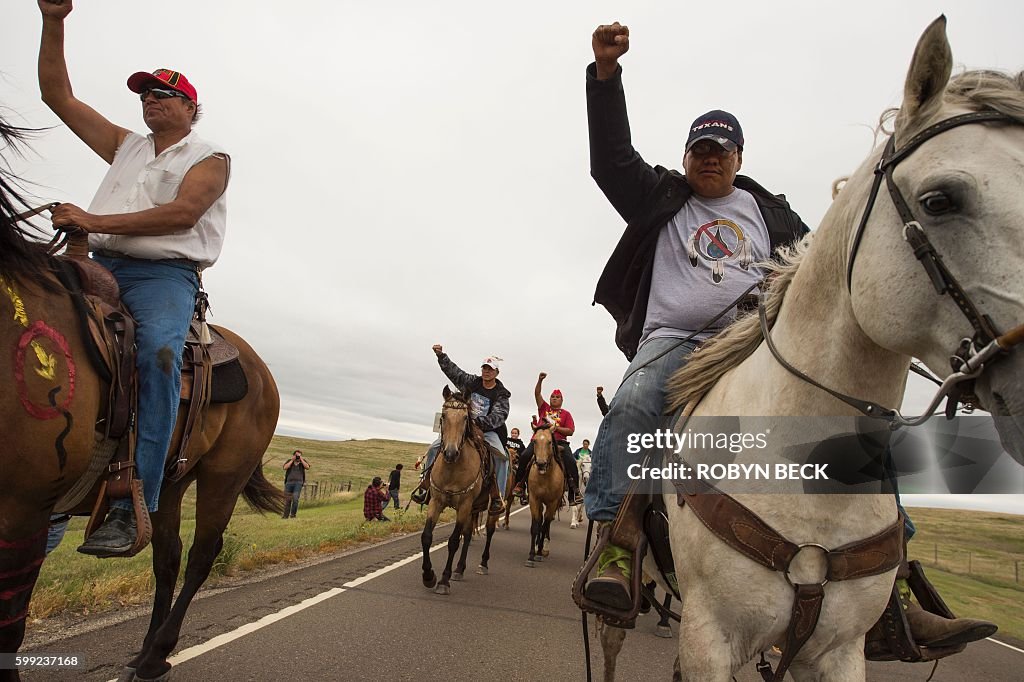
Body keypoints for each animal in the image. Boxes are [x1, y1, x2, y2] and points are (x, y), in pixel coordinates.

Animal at [0, 118, 282, 679]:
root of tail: (261, 370)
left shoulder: (24, 508)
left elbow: (9, 629)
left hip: (223, 476)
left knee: (201, 554)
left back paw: (156, 653)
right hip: (170, 480)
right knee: (166, 553)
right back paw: (147, 649)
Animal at [419, 387, 503, 589]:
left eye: (465, 417)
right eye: (443, 416)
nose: (450, 452)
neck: (453, 468)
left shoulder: (464, 505)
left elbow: (454, 541)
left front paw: (443, 580)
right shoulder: (436, 501)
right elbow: (426, 536)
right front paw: (428, 576)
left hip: (486, 508)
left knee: (489, 532)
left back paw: (483, 564)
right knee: (468, 533)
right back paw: (459, 569)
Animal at [524, 421, 565, 565]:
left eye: (549, 442)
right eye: (534, 441)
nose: (541, 464)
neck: (545, 477)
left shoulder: (553, 503)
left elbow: (545, 525)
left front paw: (540, 552)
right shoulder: (534, 499)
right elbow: (535, 526)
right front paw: (531, 555)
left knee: (547, 523)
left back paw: (544, 548)